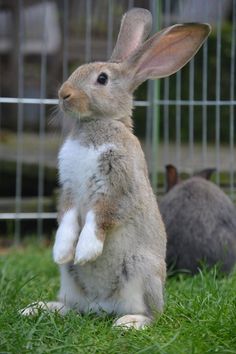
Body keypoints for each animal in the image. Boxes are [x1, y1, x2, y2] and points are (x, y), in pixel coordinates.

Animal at [20, 8, 210, 330]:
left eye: (102, 78)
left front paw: (85, 252)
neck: (97, 124)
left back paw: (129, 322)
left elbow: (99, 218)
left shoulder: (116, 185)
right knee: (73, 307)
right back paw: (36, 308)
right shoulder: (69, 190)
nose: (63, 93)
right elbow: (68, 219)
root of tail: (101, 306)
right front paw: (62, 251)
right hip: (69, 280)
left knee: (151, 315)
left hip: (141, 272)